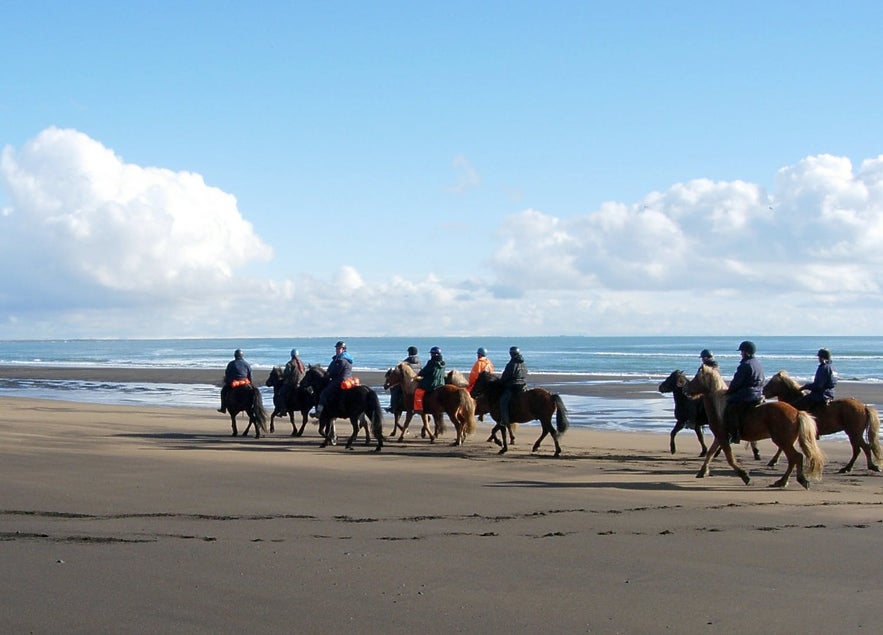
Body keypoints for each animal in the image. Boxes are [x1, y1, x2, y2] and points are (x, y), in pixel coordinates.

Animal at [688, 362, 824, 492]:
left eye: (696, 378)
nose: (685, 389)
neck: (719, 407)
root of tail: (797, 412)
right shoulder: (719, 437)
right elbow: (710, 453)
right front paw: (702, 471)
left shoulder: (722, 437)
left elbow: (729, 458)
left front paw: (744, 476)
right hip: (786, 442)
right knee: (793, 459)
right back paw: (782, 481)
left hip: (783, 441)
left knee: (796, 457)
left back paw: (795, 480)